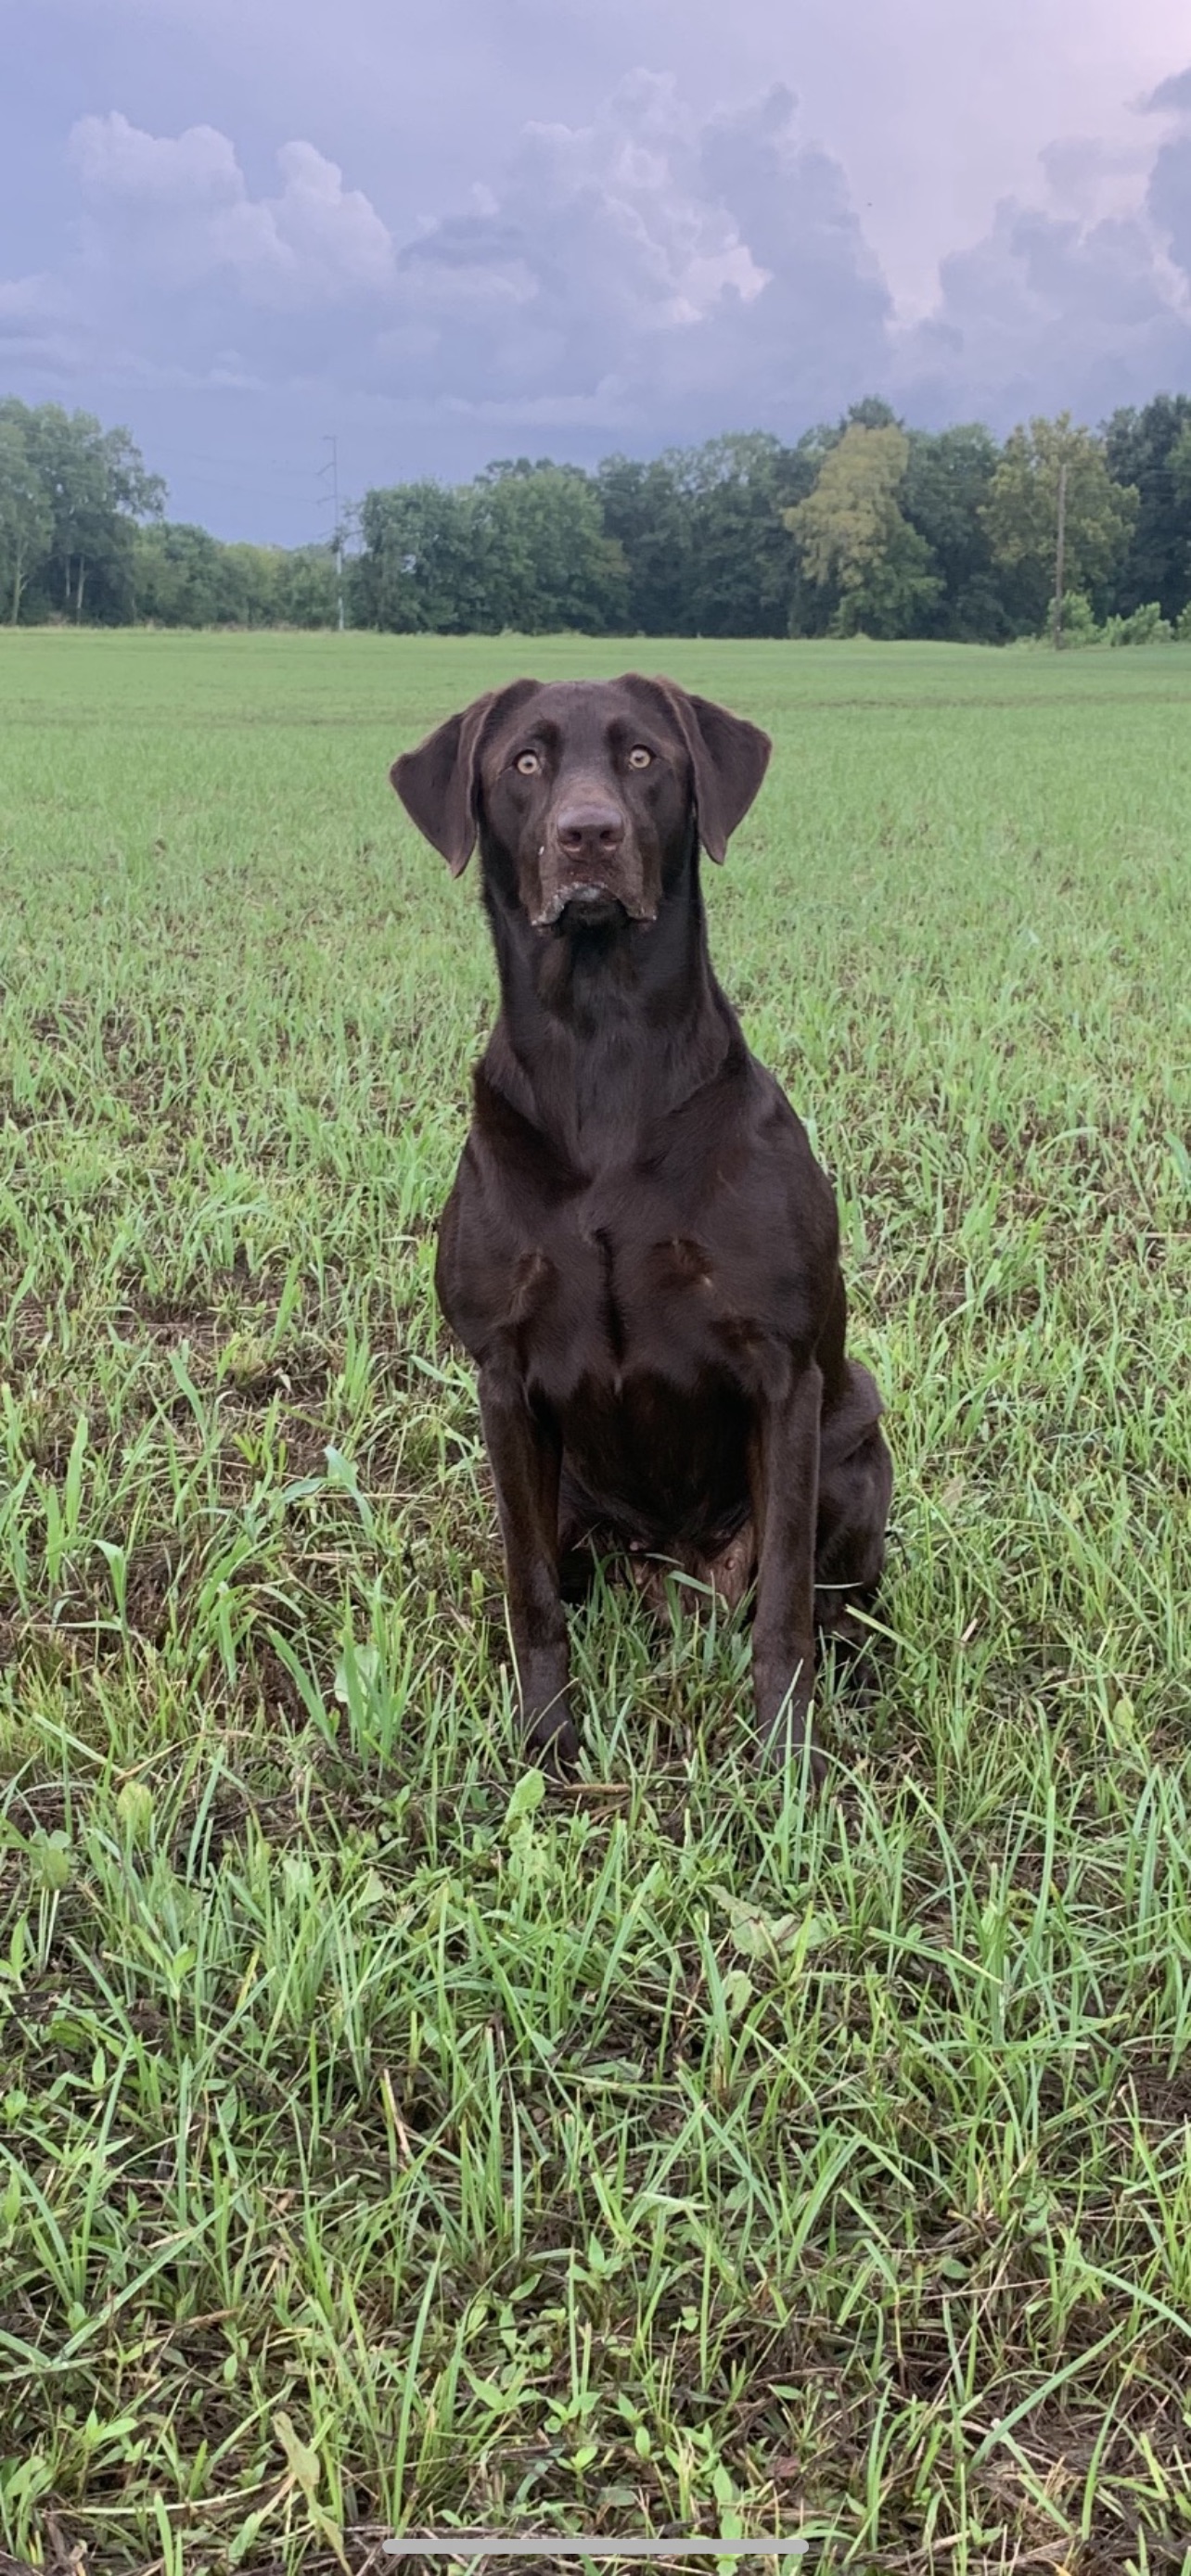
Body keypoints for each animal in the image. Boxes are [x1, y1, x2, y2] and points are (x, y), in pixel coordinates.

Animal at [391, 674, 891, 1782]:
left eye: (642, 758)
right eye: (526, 762)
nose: (588, 834)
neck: (604, 1043)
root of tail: (677, 1576)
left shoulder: (784, 1375)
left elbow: (784, 1604)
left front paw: (787, 1764)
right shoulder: (502, 1378)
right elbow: (529, 1591)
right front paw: (545, 1743)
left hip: (855, 1456)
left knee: (833, 1600)